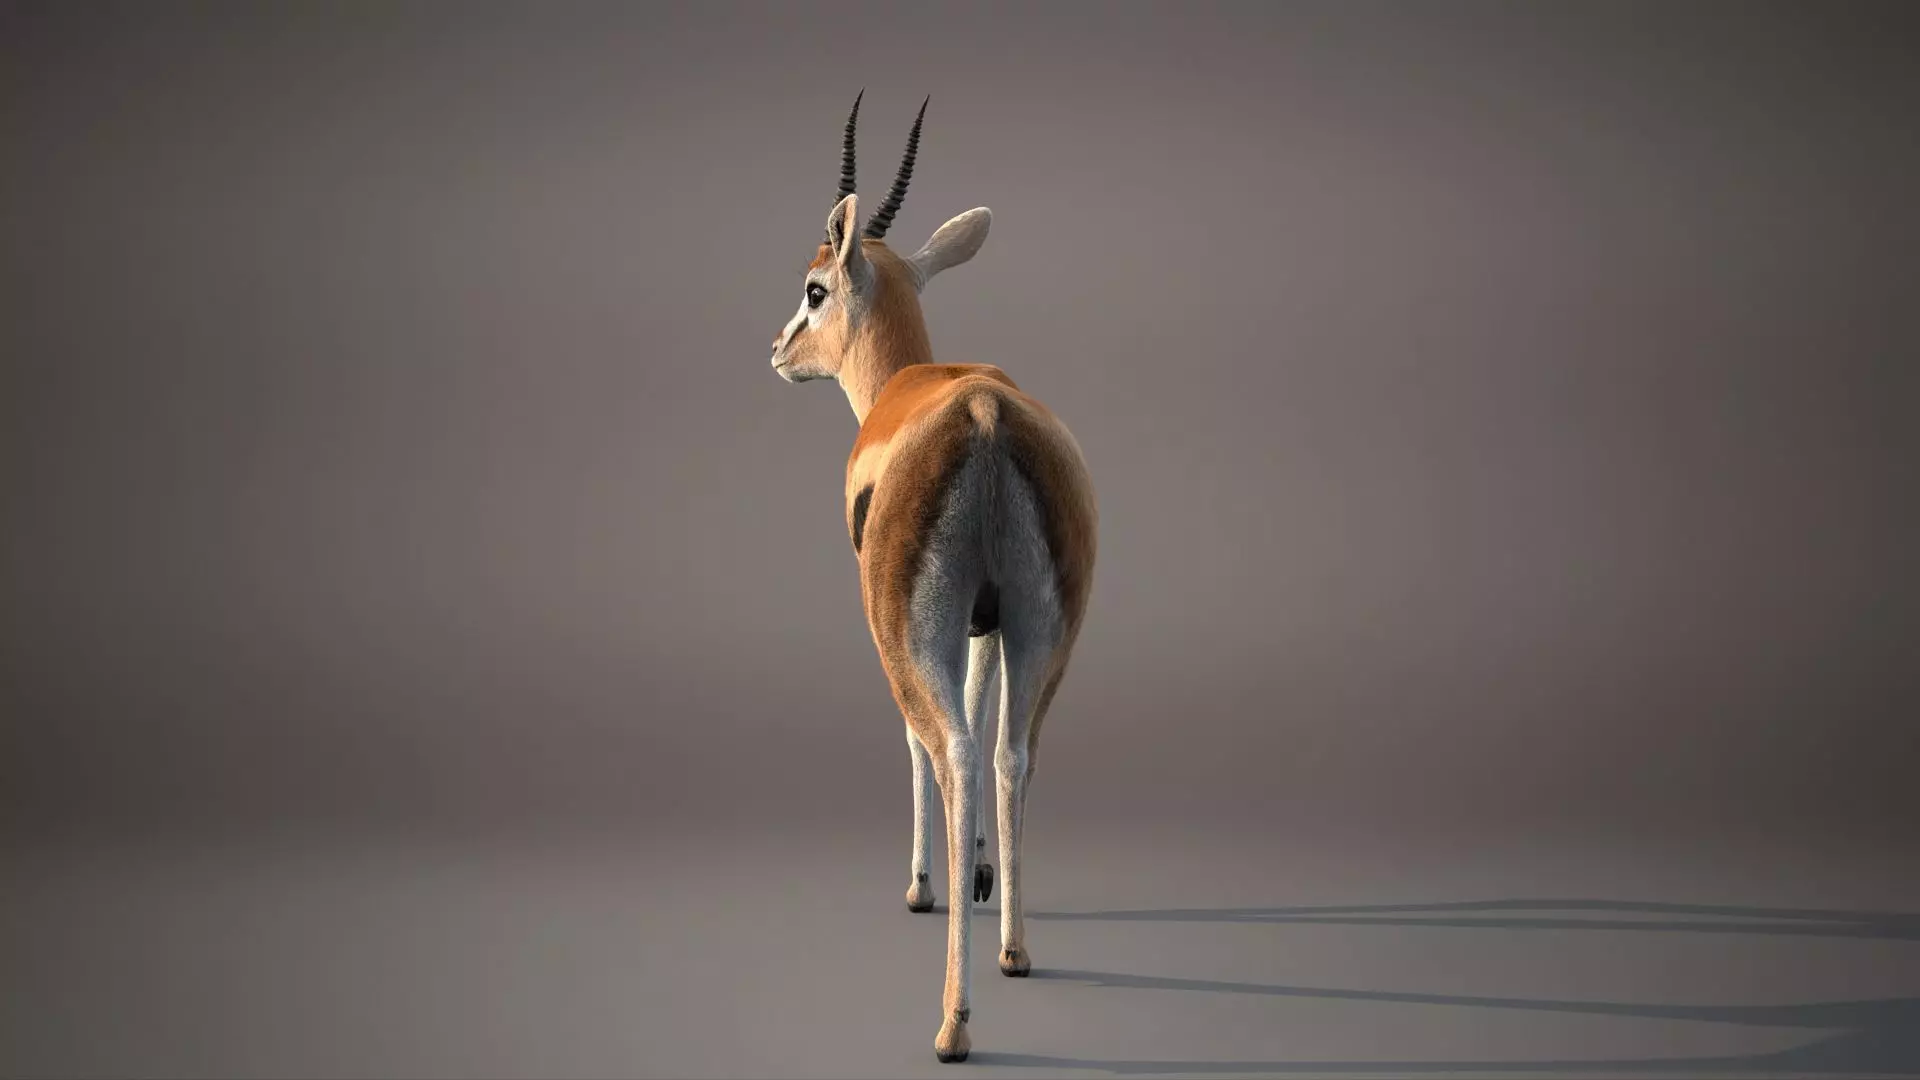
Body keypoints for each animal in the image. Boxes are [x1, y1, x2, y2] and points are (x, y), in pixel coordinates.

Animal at [768, 92, 1097, 1063]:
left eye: (814, 287)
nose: (777, 350)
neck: (911, 384)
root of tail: (983, 412)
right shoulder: (985, 626)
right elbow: (988, 719)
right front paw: (981, 870)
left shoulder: (905, 631)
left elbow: (915, 741)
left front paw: (925, 883)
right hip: (1043, 634)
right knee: (1011, 750)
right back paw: (1015, 950)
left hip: (911, 635)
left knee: (948, 748)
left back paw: (953, 1022)